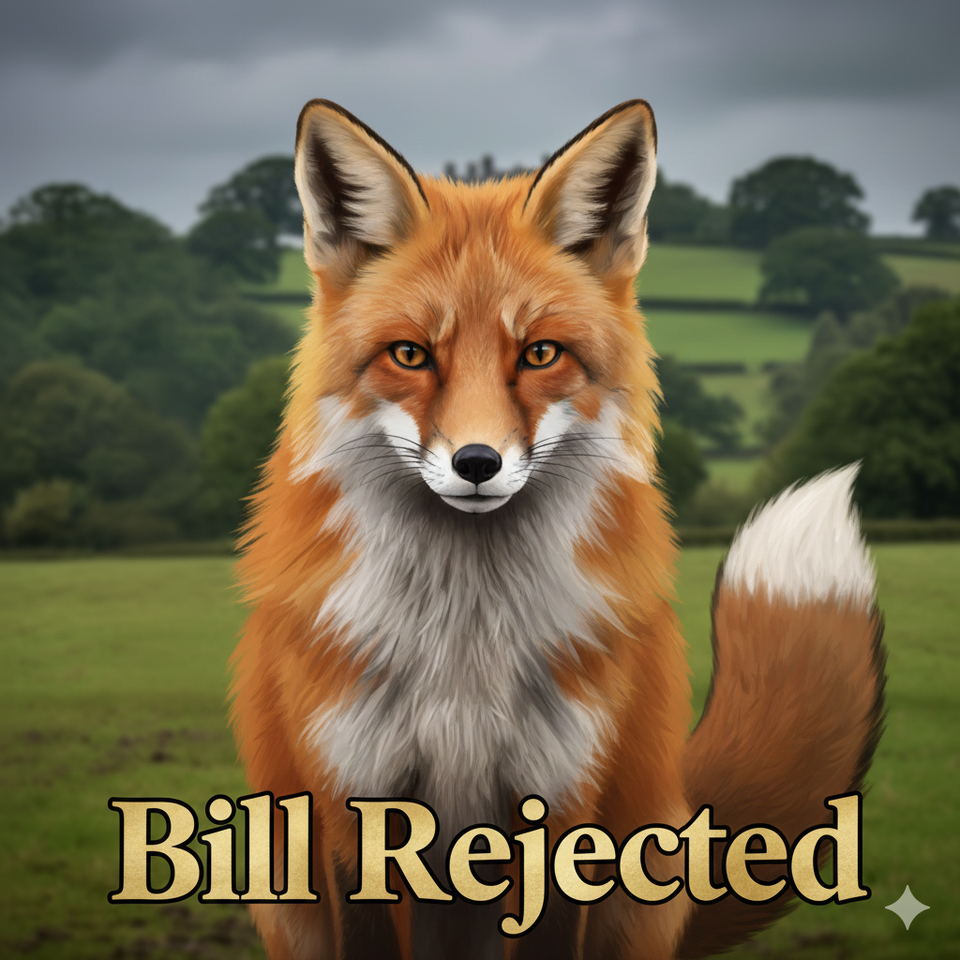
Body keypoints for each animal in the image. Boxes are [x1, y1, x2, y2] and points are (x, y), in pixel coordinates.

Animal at [230, 98, 886, 960]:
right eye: (411, 354)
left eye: (540, 353)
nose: (477, 462)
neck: (464, 654)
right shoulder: (350, 811)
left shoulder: (564, 804)